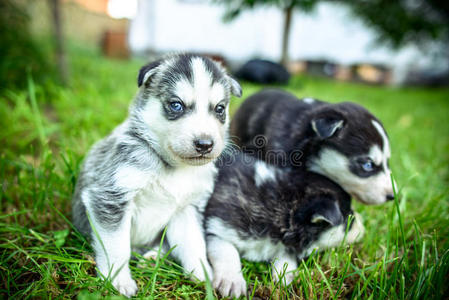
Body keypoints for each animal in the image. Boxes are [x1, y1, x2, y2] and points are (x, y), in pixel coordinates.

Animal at [72, 54, 242, 298]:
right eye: (176, 105)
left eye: (219, 109)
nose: (205, 144)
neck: (173, 168)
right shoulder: (111, 198)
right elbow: (117, 247)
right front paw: (117, 281)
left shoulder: (186, 209)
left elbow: (194, 243)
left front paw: (203, 274)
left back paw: (154, 257)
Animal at [205, 154, 362, 298]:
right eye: (350, 221)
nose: (363, 229)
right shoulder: (217, 226)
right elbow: (228, 251)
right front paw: (232, 282)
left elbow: (285, 258)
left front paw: (287, 278)